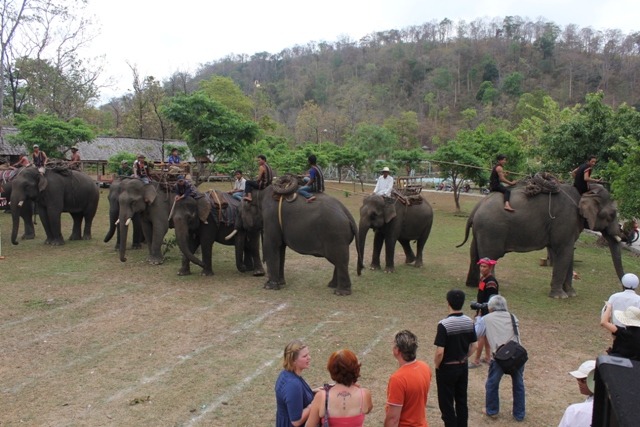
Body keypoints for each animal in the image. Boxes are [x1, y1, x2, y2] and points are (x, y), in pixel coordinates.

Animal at [458, 183, 624, 298]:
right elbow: (564, 252)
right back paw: (493, 291)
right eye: (612, 214)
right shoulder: (565, 220)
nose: (625, 289)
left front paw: (572, 294)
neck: (583, 192)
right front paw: (560, 296)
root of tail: (477, 207)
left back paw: (473, 285)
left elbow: (568, 254)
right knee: (490, 258)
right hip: (492, 230)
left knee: (474, 255)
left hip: (481, 230)